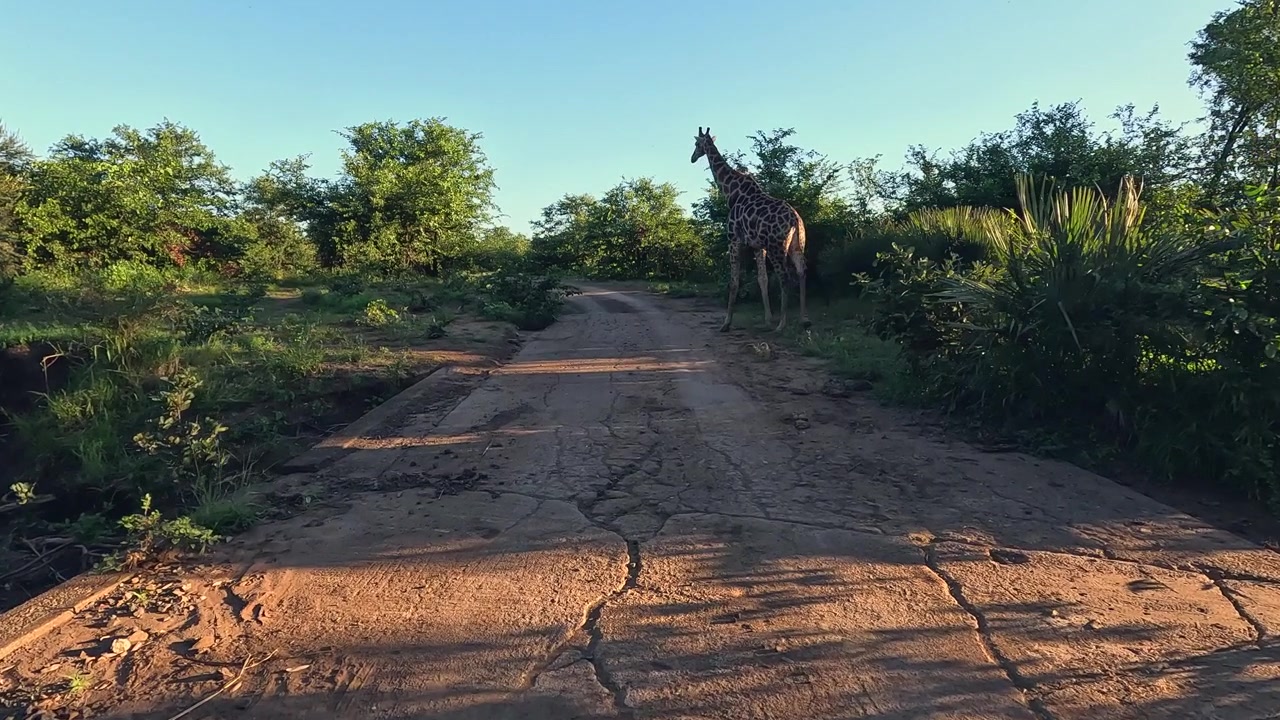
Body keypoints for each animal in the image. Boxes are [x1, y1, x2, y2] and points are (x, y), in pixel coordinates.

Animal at [690, 126, 809, 333]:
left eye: (697, 144)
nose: (692, 157)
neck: (731, 192)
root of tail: (795, 221)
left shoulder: (733, 239)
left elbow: (734, 281)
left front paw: (726, 323)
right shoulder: (756, 245)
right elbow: (762, 279)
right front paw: (767, 319)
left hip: (776, 247)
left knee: (785, 277)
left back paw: (782, 325)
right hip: (797, 244)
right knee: (801, 271)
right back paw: (802, 319)